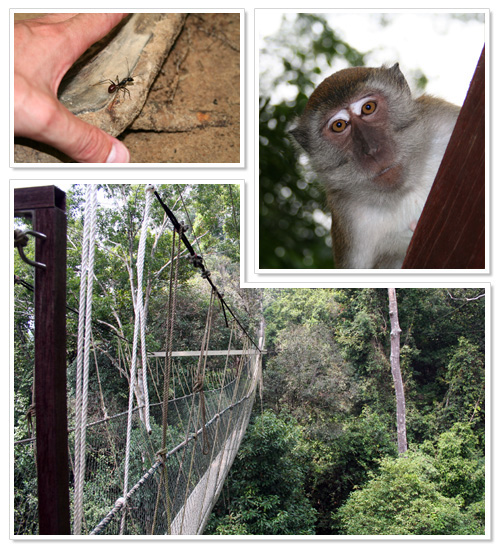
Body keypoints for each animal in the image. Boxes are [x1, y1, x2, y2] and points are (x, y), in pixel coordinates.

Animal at [292, 63, 458, 270]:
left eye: (368, 108)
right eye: (339, 125)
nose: (371, 149)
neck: (404, 190)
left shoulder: (442, 120)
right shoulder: (348, 216)